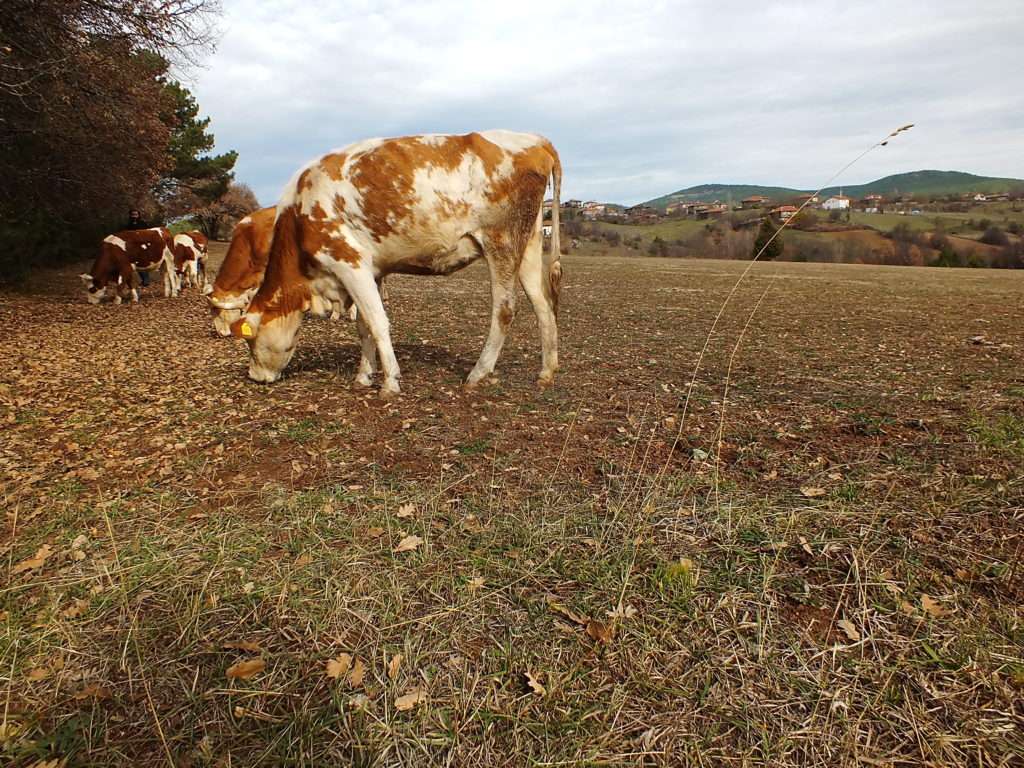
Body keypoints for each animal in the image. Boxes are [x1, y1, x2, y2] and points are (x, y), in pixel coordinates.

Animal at [230, 130, 561, 397]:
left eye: (250, 342)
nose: (254, 376)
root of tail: (536, 140)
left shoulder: (349, 263)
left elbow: (378, 322)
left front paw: (389, 382)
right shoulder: (372, 271)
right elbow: (363, 325)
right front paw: (363, 376)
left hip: (500, 242)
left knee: (505, 309)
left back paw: (478, 374)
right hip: (528, 246)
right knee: (543, 305)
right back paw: (546, 373)